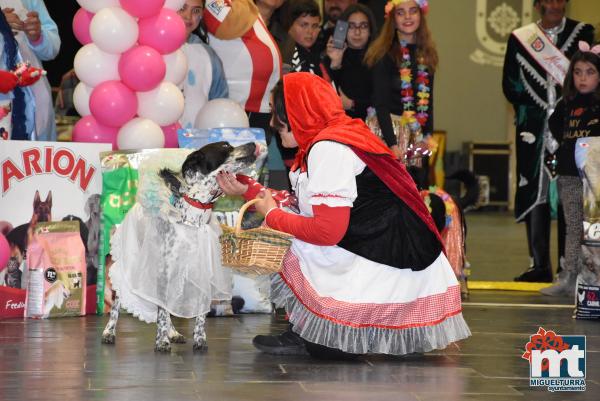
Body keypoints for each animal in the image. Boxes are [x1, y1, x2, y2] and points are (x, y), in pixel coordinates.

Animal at [102, 141, 266, 350]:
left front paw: (199, 338)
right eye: (224, 146)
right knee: (118, 303)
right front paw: (162, 341)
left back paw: (173, 333)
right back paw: (109, 332)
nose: (253, 143)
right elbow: (162, 313)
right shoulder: (164, 272)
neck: (194, 216)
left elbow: (198, 315)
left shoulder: (201, 273)